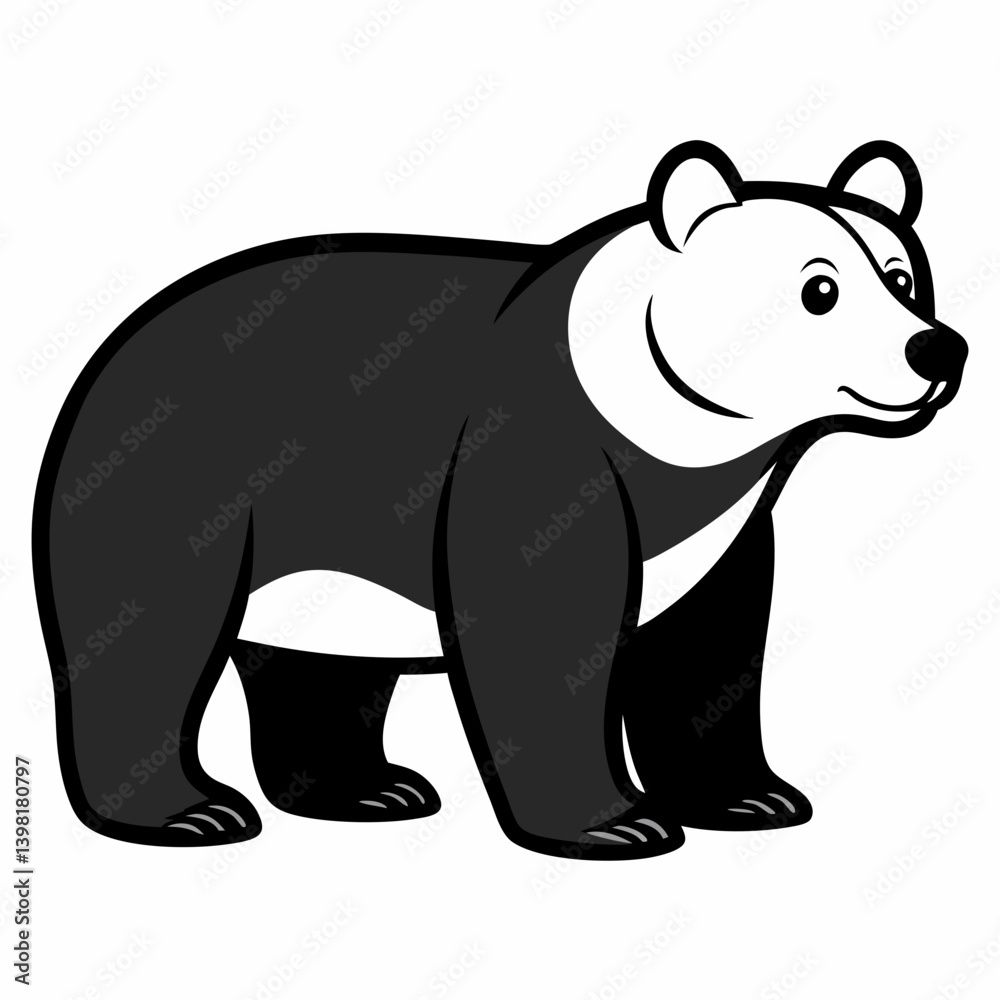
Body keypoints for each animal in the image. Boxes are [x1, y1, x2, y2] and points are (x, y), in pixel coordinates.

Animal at [33, 140, 967, 860]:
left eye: (902, 276)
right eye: (819, 289)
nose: (937, 350)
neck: (672, 425)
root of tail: (111, 348)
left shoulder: (724, 512)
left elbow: (707, 640)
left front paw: (751, 799)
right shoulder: (541, 441)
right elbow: (543, 619)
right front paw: (617, 824)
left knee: (319, 668)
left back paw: (369, 789)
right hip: (183, 470)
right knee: (152, 622)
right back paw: (190, 809)